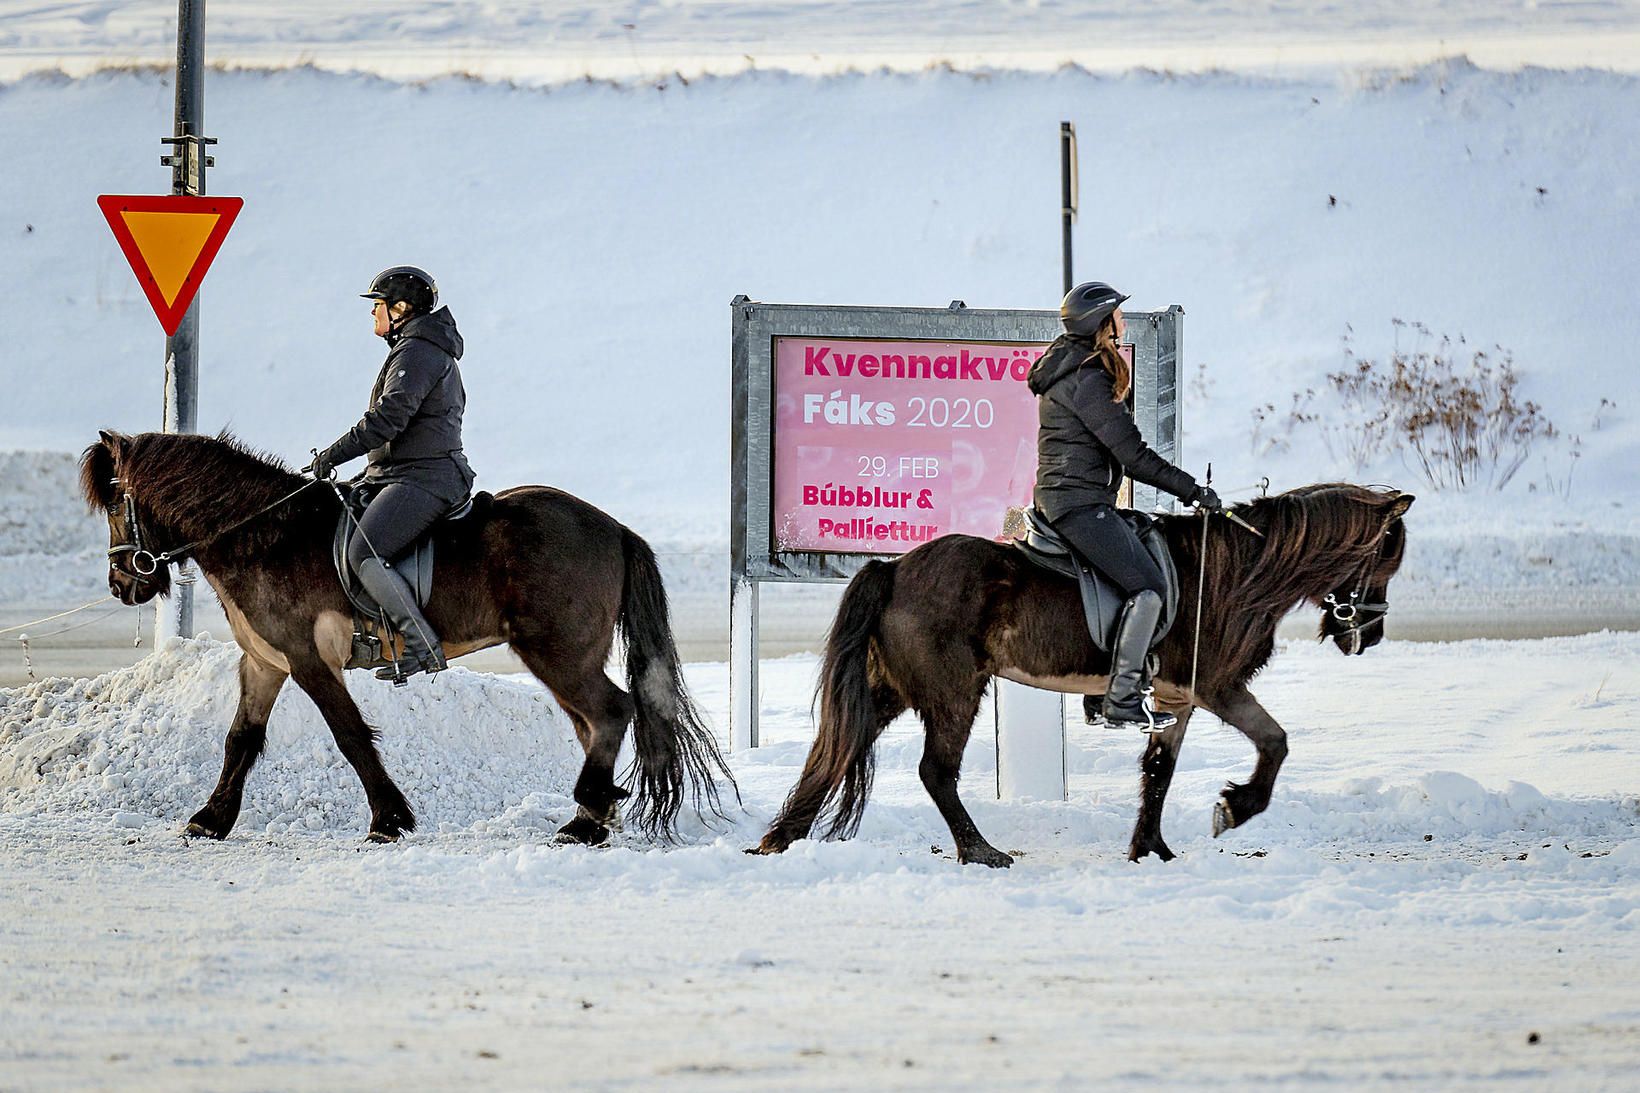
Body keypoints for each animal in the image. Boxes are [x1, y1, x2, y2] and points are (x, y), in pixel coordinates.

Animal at [79, 426, 734, 840]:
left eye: (115, 504)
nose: (121, 582)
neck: (265, 535)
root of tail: (614, 527)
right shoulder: (264, 661)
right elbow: (240, 739)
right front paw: (210, 820)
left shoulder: (309, 660)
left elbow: (350, 737)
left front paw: (388, 820)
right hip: (565, 657)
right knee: (594, 724)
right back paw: (594, 816)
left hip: (557, 652)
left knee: (612, 711)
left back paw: (583, 820)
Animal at [754, 482, 1410, 866]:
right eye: (1387, 554)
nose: (1370, 634)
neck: (1234, 573)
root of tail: (893, 569)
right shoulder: (1216, 687)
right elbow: (1274, 741)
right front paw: (1234, 807)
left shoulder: (1176, 698)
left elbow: (1159, 771)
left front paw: (1151, 849)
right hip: (954, 692)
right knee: (934, 772)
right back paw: (980, 851)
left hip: (886, 689)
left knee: (834, 752)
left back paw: (780, 839)